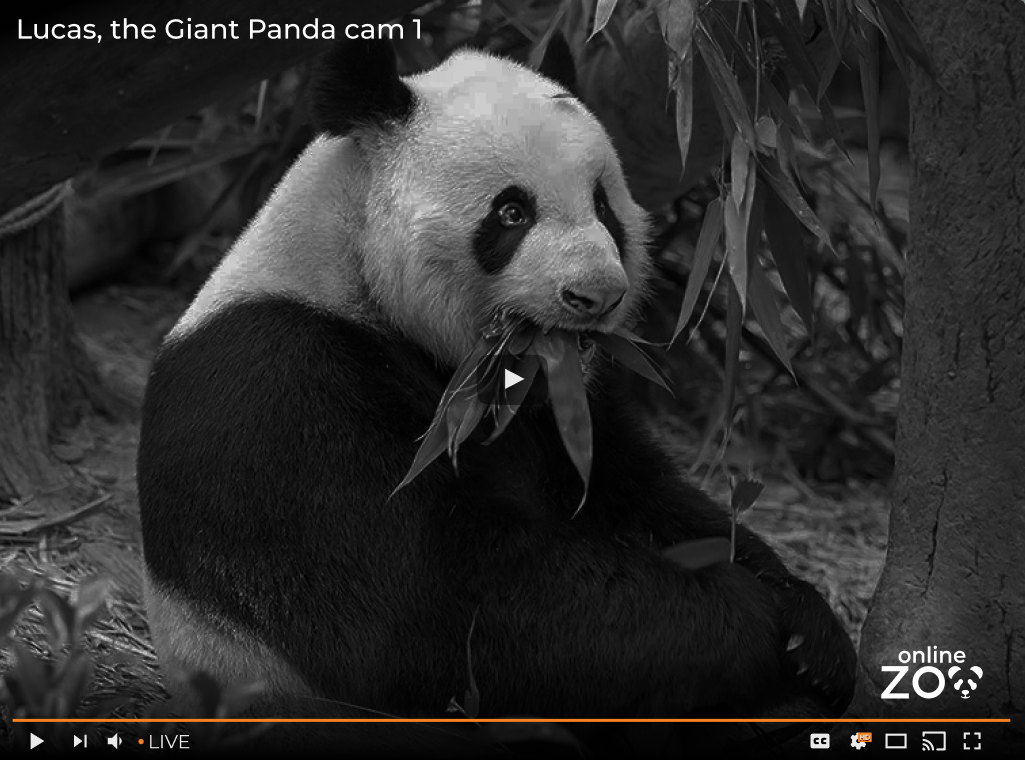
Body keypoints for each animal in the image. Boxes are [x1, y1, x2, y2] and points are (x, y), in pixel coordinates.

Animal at [137, 38, 856, 753]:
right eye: (512, 212)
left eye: (604, 207)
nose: (597, 296)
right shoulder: (287, 391)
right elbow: (443, 611)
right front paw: (751, 617)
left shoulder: (570, 406)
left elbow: (644, 496)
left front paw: (809, 628)